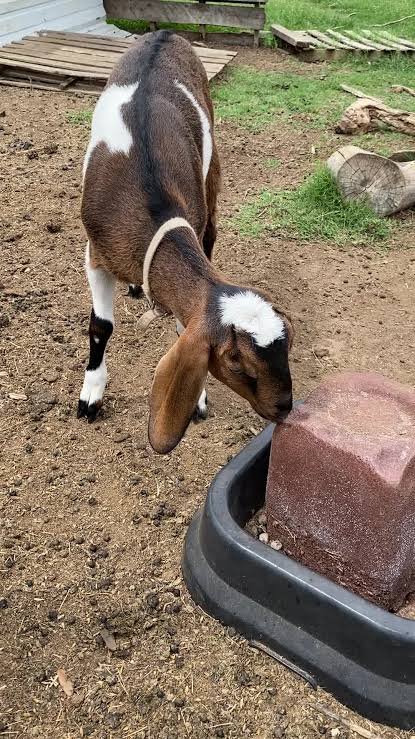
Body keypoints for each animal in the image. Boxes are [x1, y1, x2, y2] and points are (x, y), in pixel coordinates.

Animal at [78, 30, 293, 454]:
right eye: (236, 361)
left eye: (288, 344)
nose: (286, 406)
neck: (151, 210)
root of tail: (164, 33)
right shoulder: (95, 254)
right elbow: (101, 327)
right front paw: (90, 395)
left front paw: (198, 399)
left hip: (210, 168)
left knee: (211, 231)